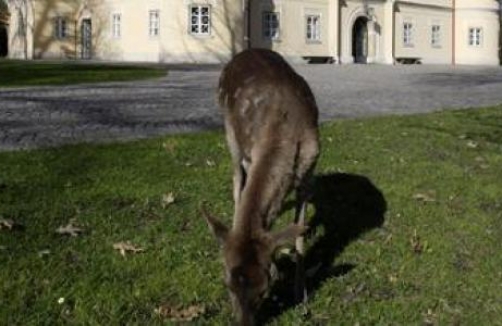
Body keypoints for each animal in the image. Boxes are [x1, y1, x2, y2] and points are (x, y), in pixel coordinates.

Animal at [202, 49, 320, 326]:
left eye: (264, 290)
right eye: (227, 284)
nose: (242, 323)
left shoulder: (309, 171)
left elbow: (297, 232)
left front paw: (300, 292)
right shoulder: (250, 153)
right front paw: (278, 268)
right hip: (230, 132)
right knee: (237, 183)